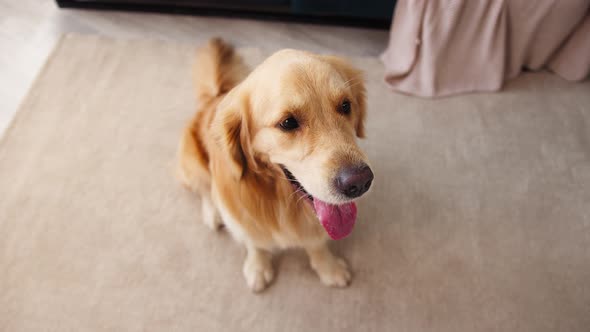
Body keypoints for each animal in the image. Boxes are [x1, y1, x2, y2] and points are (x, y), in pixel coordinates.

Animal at [178, 39, 376, 292]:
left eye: (345, 105)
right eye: (288, 122)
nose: (359, 182)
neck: (281, 198)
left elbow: (316, 243)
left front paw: (328, 267)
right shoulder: (243, 216)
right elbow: (255, 243)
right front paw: (258, 267)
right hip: (191, 162)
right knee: (204, 189)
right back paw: (213, 213)